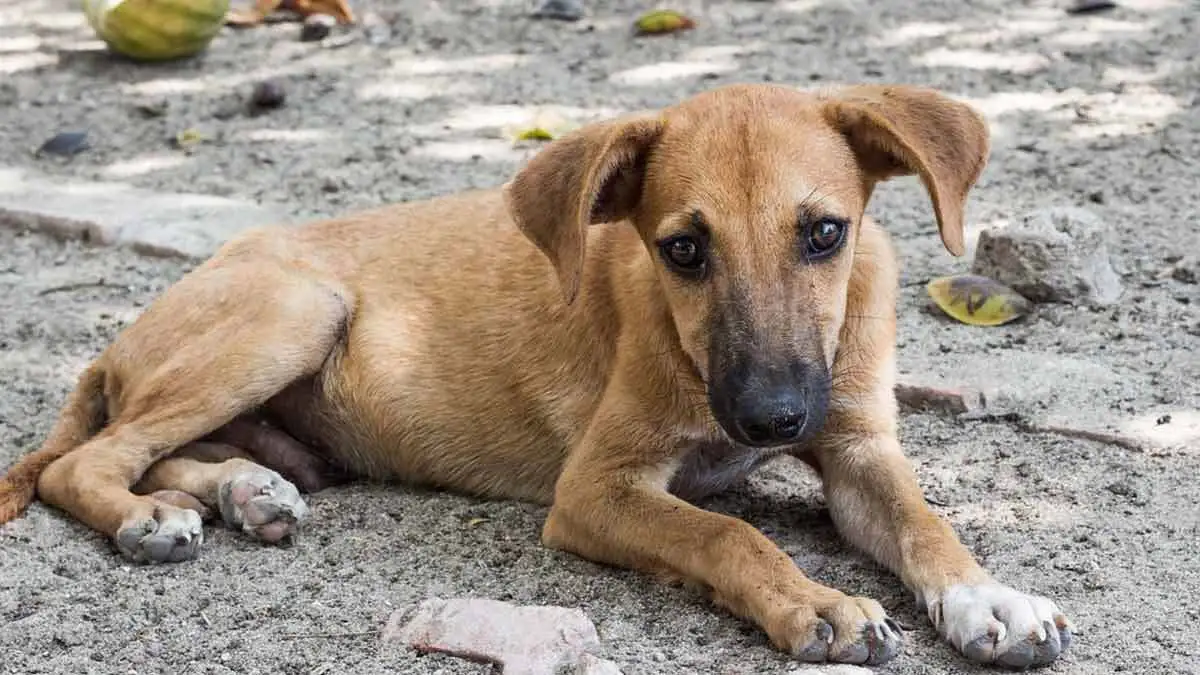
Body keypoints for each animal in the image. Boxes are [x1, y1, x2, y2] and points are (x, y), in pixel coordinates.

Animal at [0, 81, 1075, 662]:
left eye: (824, 233)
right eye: (683, 249)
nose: (772, 419)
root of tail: (117, 340)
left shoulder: (856, 445)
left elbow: (927, 523)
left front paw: (990, 597)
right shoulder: (595, 490)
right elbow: (725, 532)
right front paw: (814, 601)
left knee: (167, 451)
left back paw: (244, 490)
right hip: (293, 311)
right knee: (87, 460)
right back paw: (150, 518)